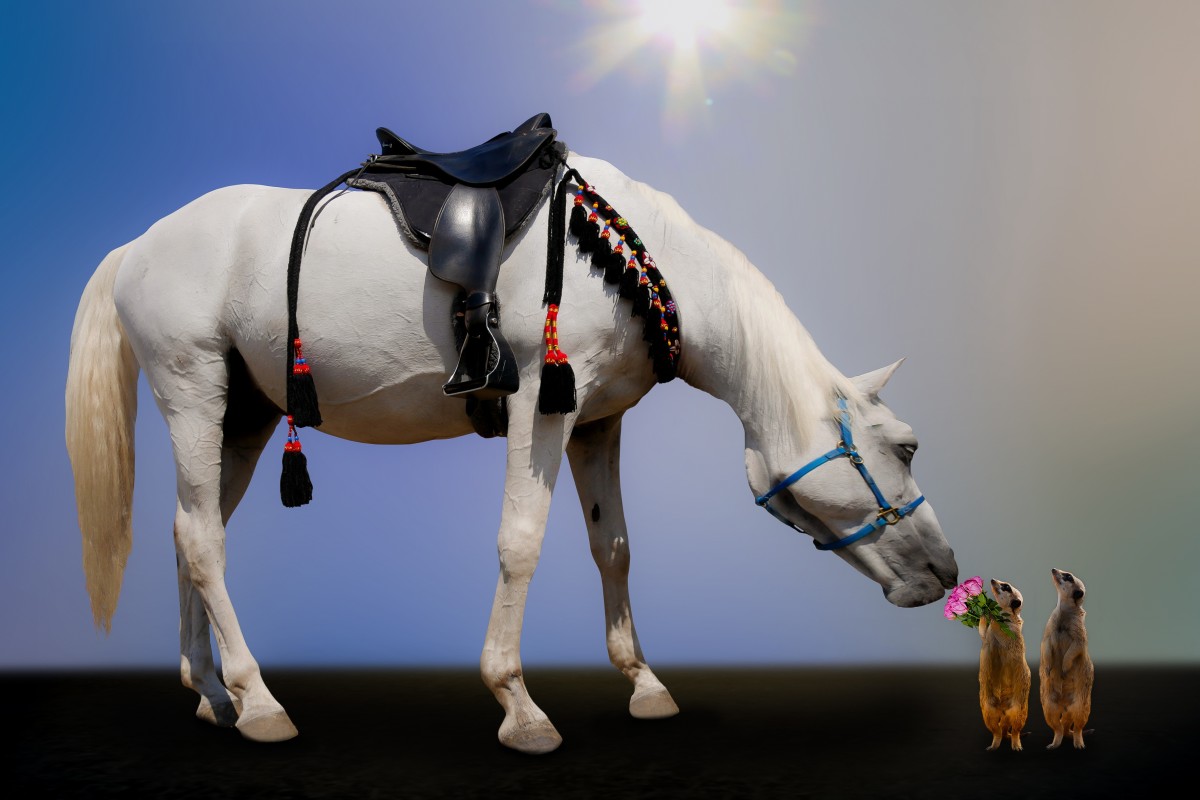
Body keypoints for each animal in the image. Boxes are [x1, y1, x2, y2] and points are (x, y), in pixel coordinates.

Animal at [65, 151, 959, 755]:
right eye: (907, 446)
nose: (945, 571)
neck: (627, 255)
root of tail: (135, 247)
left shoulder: (598, 421)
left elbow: (613, 546)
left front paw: (644, 684)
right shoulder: (539, 403)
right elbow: (520, 542)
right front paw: (518, 706)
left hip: (242, 415)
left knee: (189, 531)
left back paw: (209, 689)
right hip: (192, 390)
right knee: (202, 540)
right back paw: (255, 702)